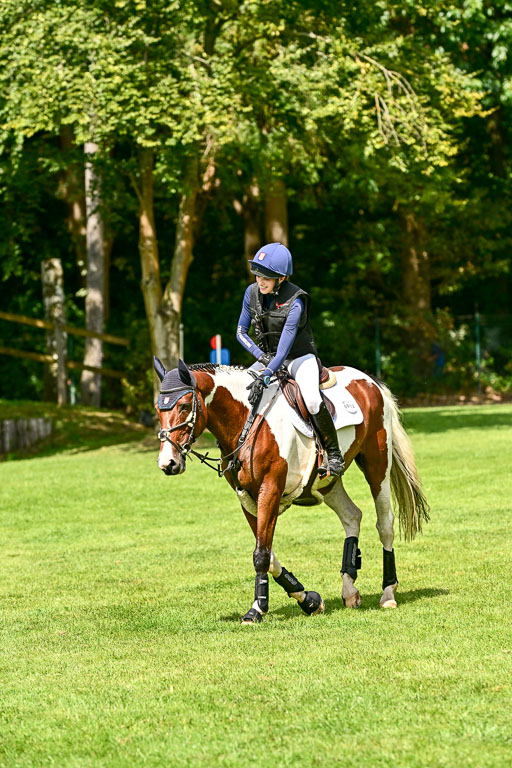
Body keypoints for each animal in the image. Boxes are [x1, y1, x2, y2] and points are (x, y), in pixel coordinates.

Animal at [154, 357, 429, 624]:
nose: (168, 463)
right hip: (327, 482)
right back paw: (350, 590)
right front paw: (309, 600)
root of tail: (370, 381)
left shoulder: (270, 490)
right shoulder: (246, 498)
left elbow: (261, 554)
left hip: (377, 463)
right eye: (159, 409)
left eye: (184, 406)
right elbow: (269, 554)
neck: (247, 420)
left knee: (385, 524)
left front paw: (257, 609)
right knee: (352, 516)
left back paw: (388, 593)